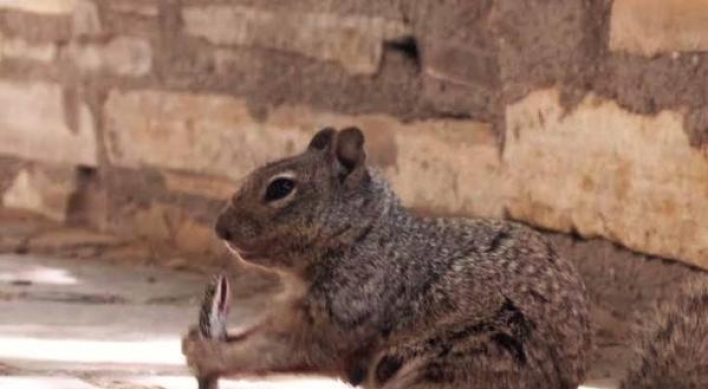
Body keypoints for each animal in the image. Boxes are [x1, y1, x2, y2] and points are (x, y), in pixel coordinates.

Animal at [183, 127, 592, 388]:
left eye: (281, 188)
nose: (220, 228)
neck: (362, 238)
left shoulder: (345, 314)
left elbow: (279, 351)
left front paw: (207, 354)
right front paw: (196, 339)